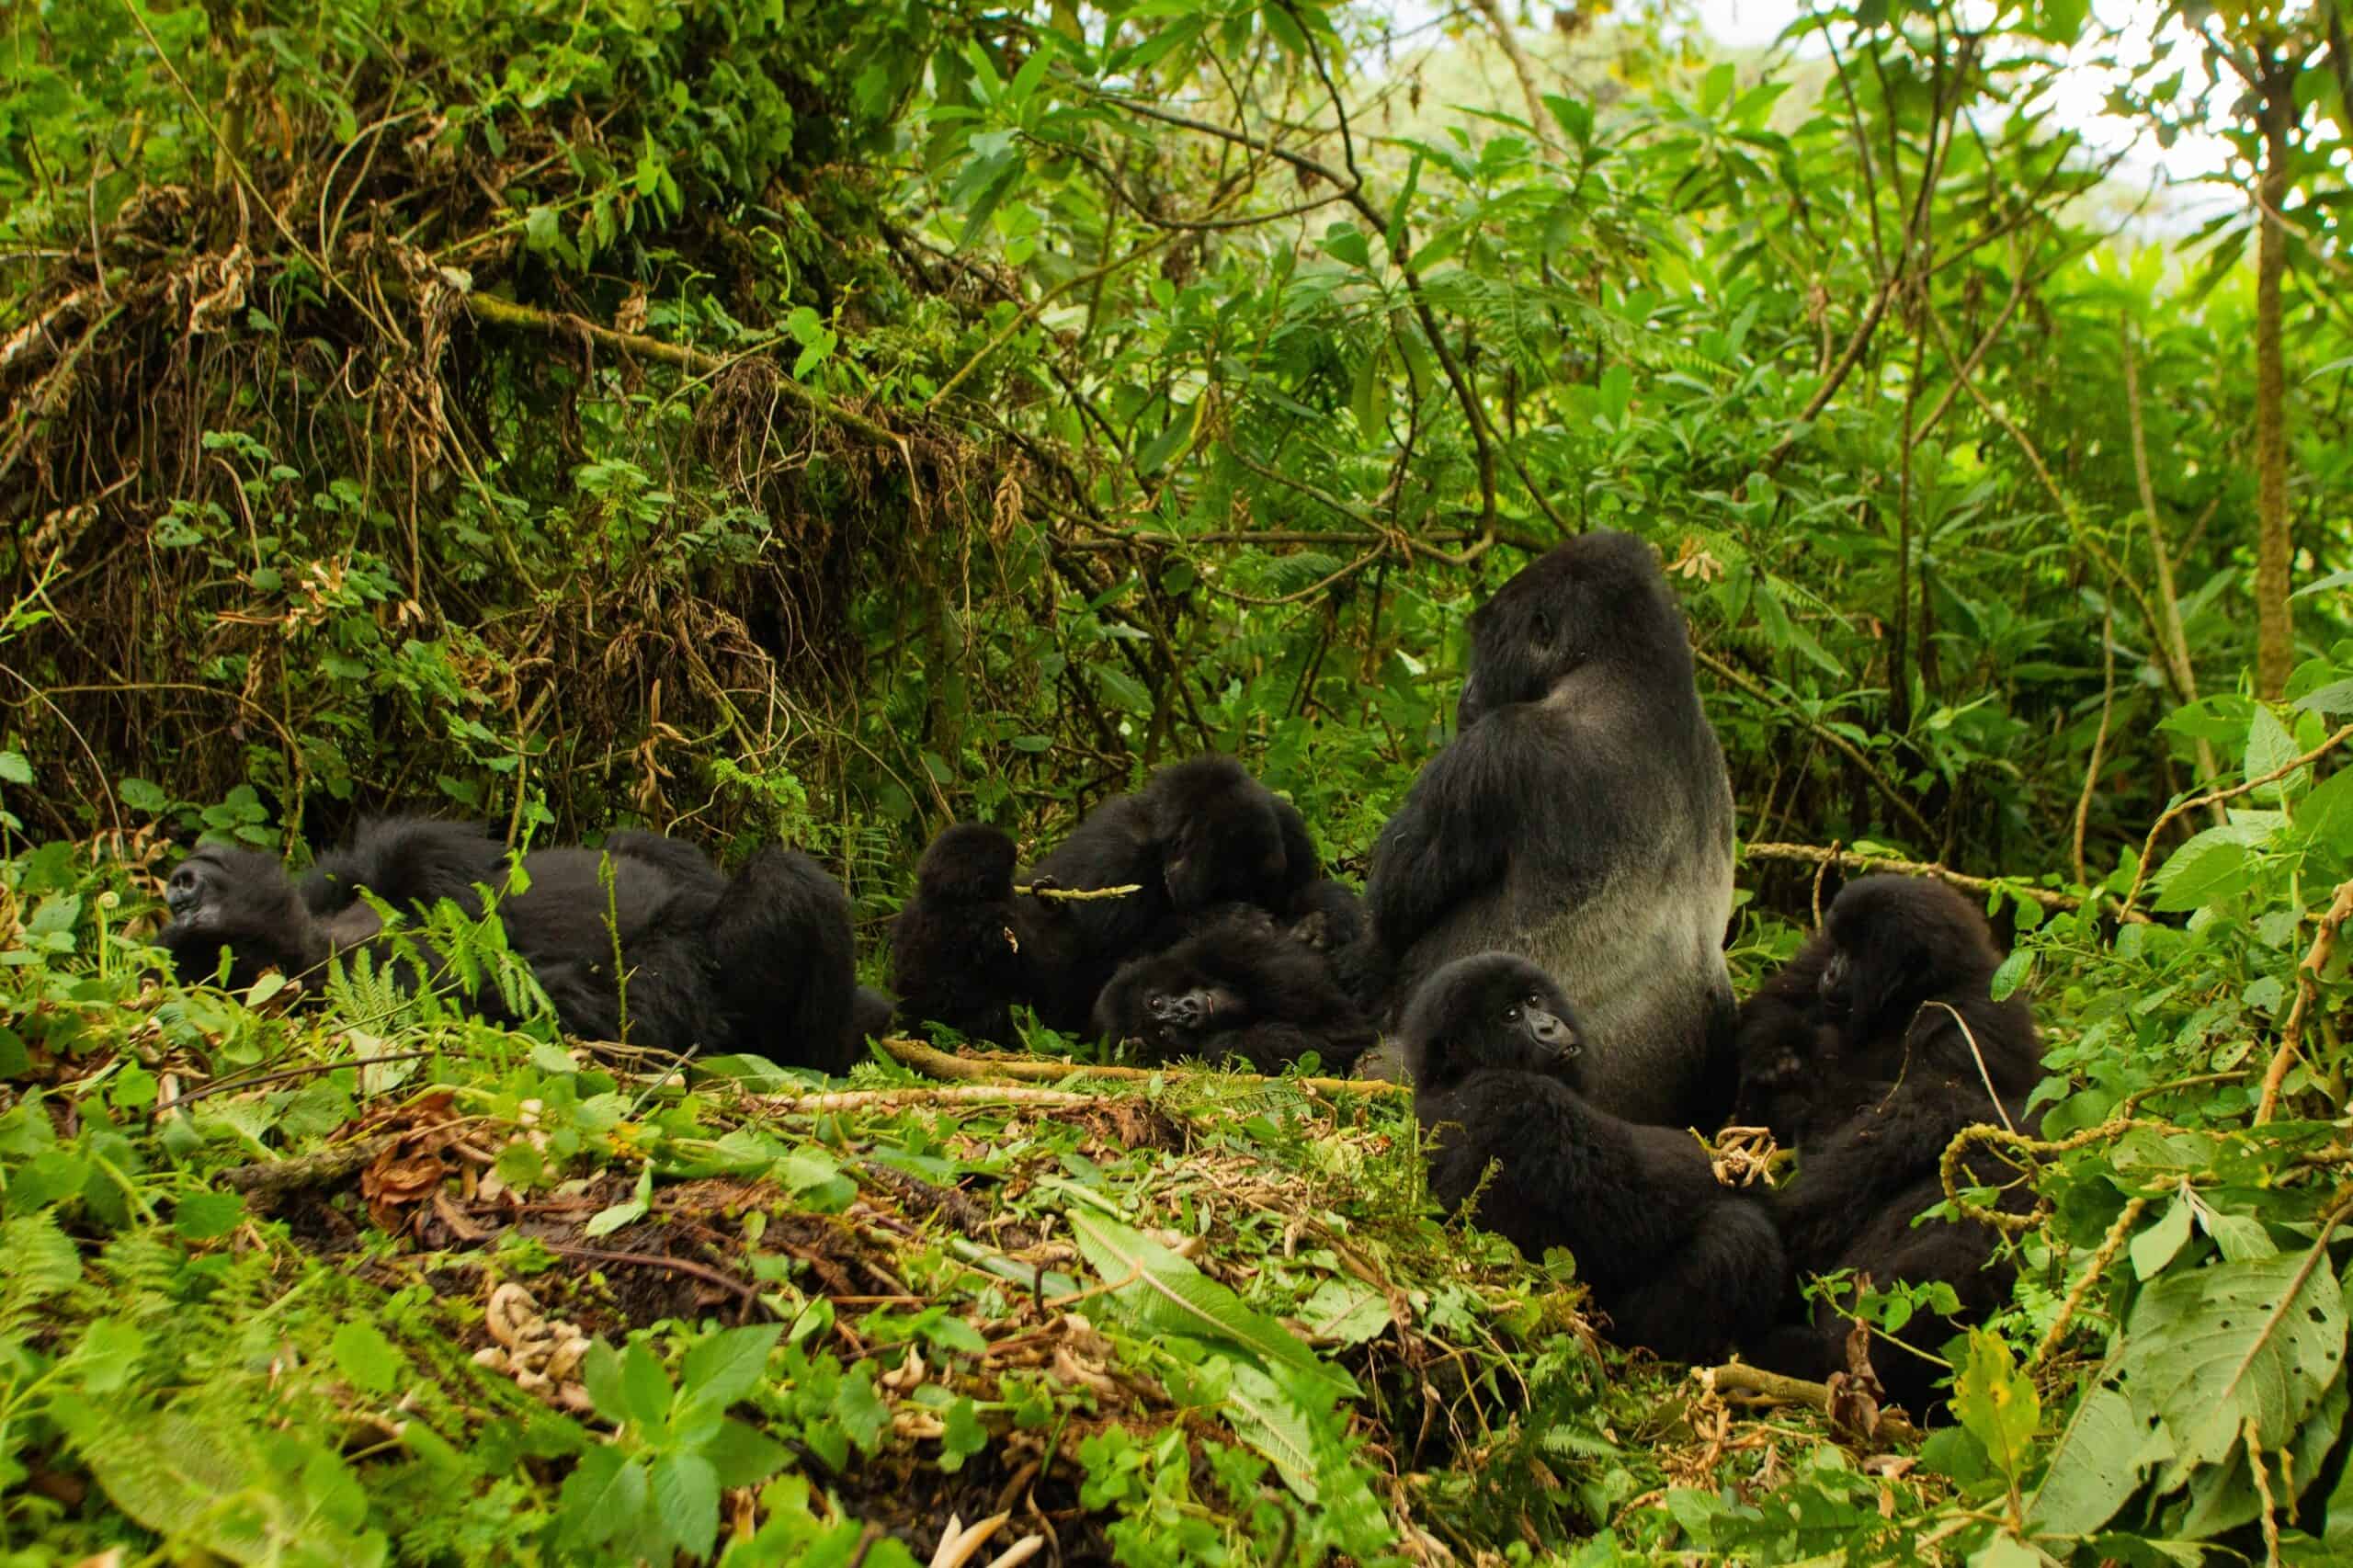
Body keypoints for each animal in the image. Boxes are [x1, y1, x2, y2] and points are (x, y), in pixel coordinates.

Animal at [161, 810, 870, 1068]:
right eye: (194, 930)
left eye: (191, 902)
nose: (180, 884)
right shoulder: (409, 982)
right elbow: (635, 1005)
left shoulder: (367, 867)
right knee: (784, 884)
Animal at [1392, 946, 1779, 1365]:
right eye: (1510, 1015)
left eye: (1534, 1000)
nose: (1549, 1026)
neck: (1452, 1074)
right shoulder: (1519, 1101)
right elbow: (1641, 1202)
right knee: (1735, 1235)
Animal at [1741, 870, 2052, 1412]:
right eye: (1839, 947)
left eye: (1856, 955)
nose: (1833, 972)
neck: (1913, 997)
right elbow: (1772, 1005)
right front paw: (1777, 1058)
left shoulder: (1968, 1030)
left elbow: (1877, 1118)